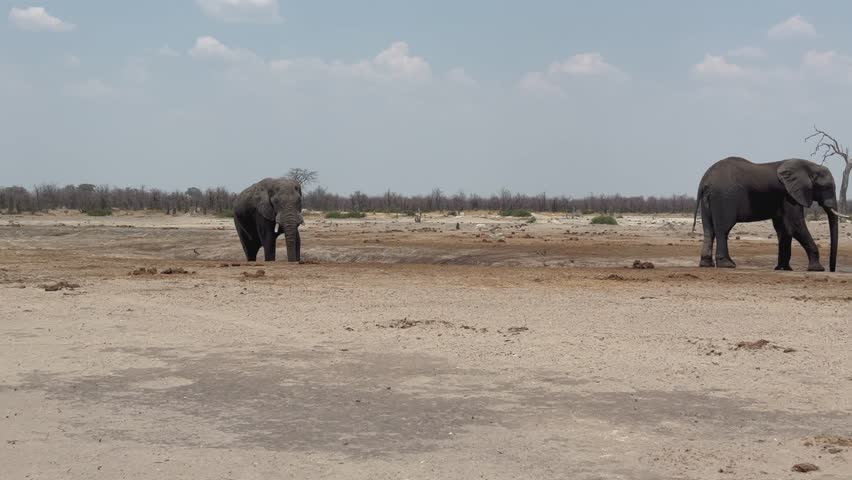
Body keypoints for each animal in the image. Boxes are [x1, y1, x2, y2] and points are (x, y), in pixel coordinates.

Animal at [693, 156, 849, 272]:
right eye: (827, 187)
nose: (832, 269)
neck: (808, 167)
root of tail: (704, 181)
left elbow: (784, 228)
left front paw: (783, 268)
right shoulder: (789, 195)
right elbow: (795, 224)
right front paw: (817, 269)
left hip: (710, 200)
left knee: (709, 229)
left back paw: (706, 264)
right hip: (724, 197)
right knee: (723, 229)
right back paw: (728, 265)